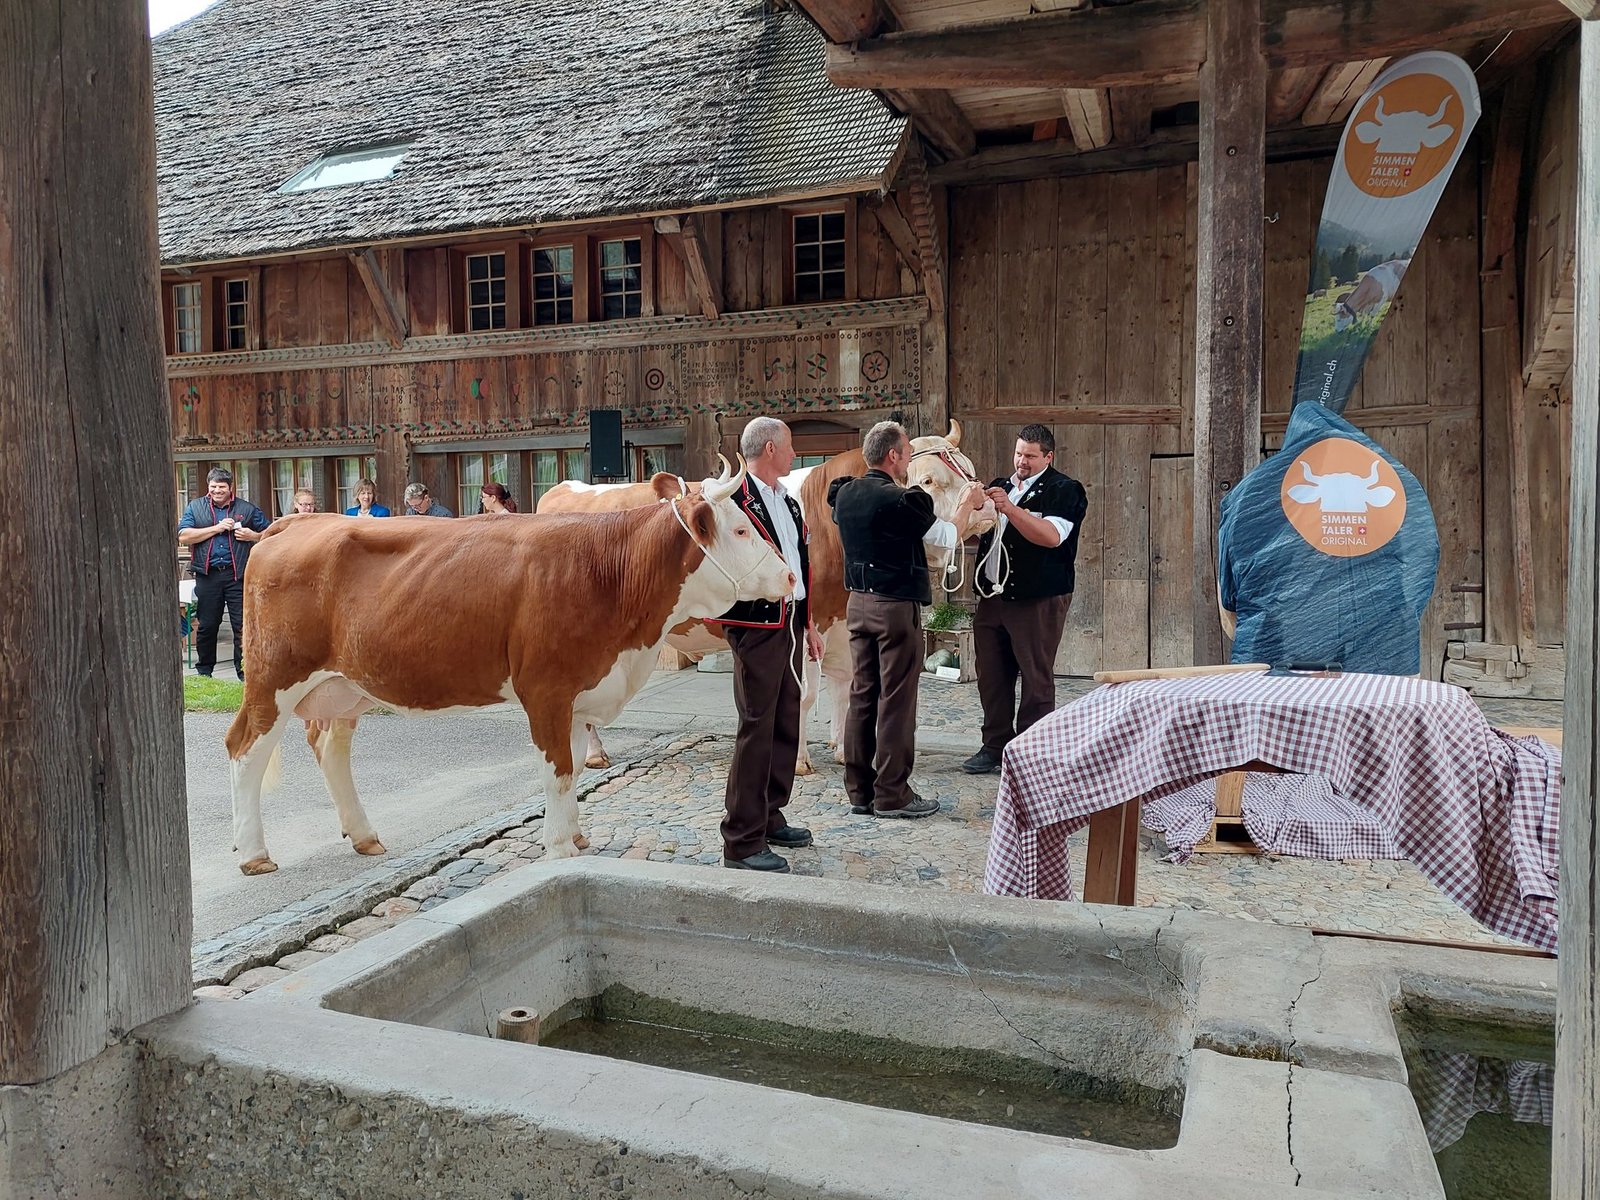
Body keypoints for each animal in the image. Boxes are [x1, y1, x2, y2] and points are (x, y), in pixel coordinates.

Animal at [224, 457, 794, 875]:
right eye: (741, 530)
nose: (791, 577)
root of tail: (297, 520)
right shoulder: (546, 689)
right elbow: (558, 771)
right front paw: (559, 848)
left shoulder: (580, 691)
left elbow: (574, 765)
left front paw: (577, 837)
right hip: (273, 678)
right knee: (245, 749)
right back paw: (253, 854)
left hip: (347, 684)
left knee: (331, 747)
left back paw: (364, 836)